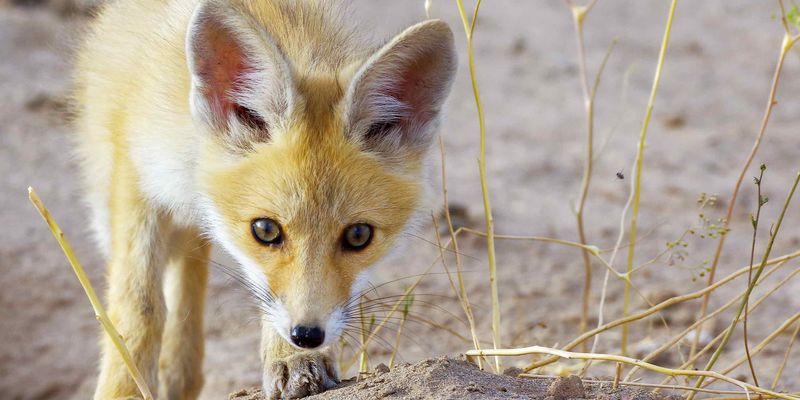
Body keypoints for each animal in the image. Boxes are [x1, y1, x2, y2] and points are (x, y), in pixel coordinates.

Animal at [72, 0, 456, 398]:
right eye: (266, 231)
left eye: (358, 236)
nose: (306, 336)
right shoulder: (136, 176)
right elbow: (140, 308)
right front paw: (123, 386)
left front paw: (291, 359)